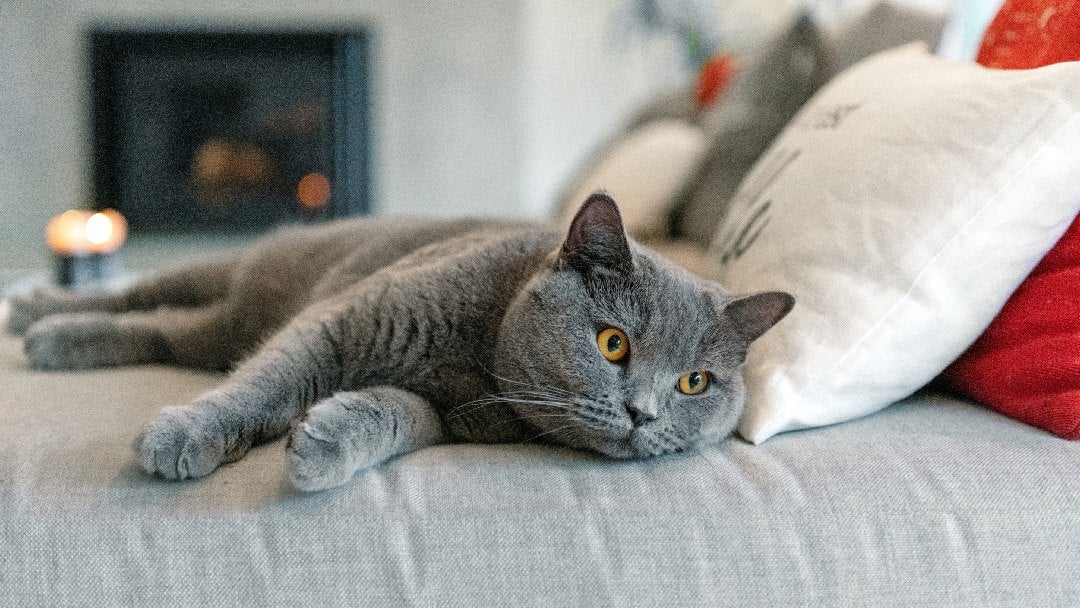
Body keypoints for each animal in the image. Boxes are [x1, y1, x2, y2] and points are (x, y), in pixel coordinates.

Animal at [8, 192, 794, 492]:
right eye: (612, 345)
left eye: (695, 383)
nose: (644, 414)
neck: (479, 364)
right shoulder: (342, 319)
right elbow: (267, 382)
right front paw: (189, 434)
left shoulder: (450, 418)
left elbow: (402, 415)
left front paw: (328, 439)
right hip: (244, 271)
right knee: (144, 293)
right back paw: (39, 315)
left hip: (217, 325)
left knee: (167, 332)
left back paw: (59, 337)